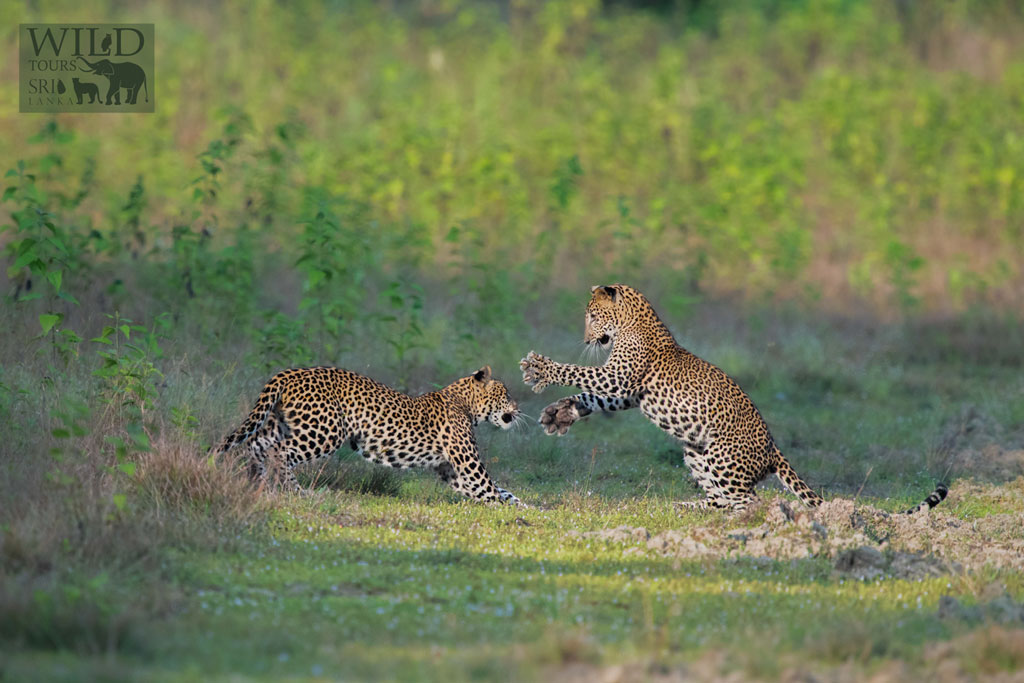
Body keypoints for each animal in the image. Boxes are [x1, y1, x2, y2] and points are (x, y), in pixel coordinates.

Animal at [211, 365, 525, 505]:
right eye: (506, 394)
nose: (518, 408)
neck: (466, 403)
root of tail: (288, 373)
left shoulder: (450, 470)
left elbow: (500, 491)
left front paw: (520, 505)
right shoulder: (468, 466)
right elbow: (490, 489)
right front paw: (526, 512)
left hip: (279, 422)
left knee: (255, 444)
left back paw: (256, 483)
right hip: (325, 430)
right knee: (279, 451)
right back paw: (296, 491)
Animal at [520, 284, 948, 513]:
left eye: (592, 316)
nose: (586, 339)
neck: (634, 321)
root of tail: (773, 448)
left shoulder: (621, 377)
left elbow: (579, 373)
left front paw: (540, 368)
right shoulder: (625, 391)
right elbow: (590, 395)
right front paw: (558, 414)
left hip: (723, 456)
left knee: (750, 501)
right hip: (696, 452)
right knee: (722, 498)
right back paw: (687, 507)